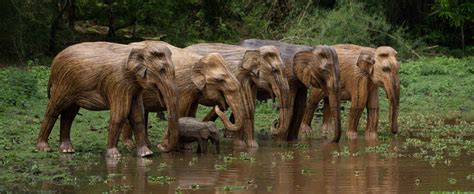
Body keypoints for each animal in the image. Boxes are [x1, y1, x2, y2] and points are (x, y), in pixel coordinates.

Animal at [34, 41, 180, 158]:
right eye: (161, 70)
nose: (161, 147)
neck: (140, 49)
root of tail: (54, 62)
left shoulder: (133, 88)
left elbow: (138, 116)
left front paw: (146, 154)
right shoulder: (118, 82)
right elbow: (120, 115)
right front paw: (114, 156)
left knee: (68, 115)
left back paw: (67, 150)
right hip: (62, 84)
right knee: (54, 110)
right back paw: (44, 148)